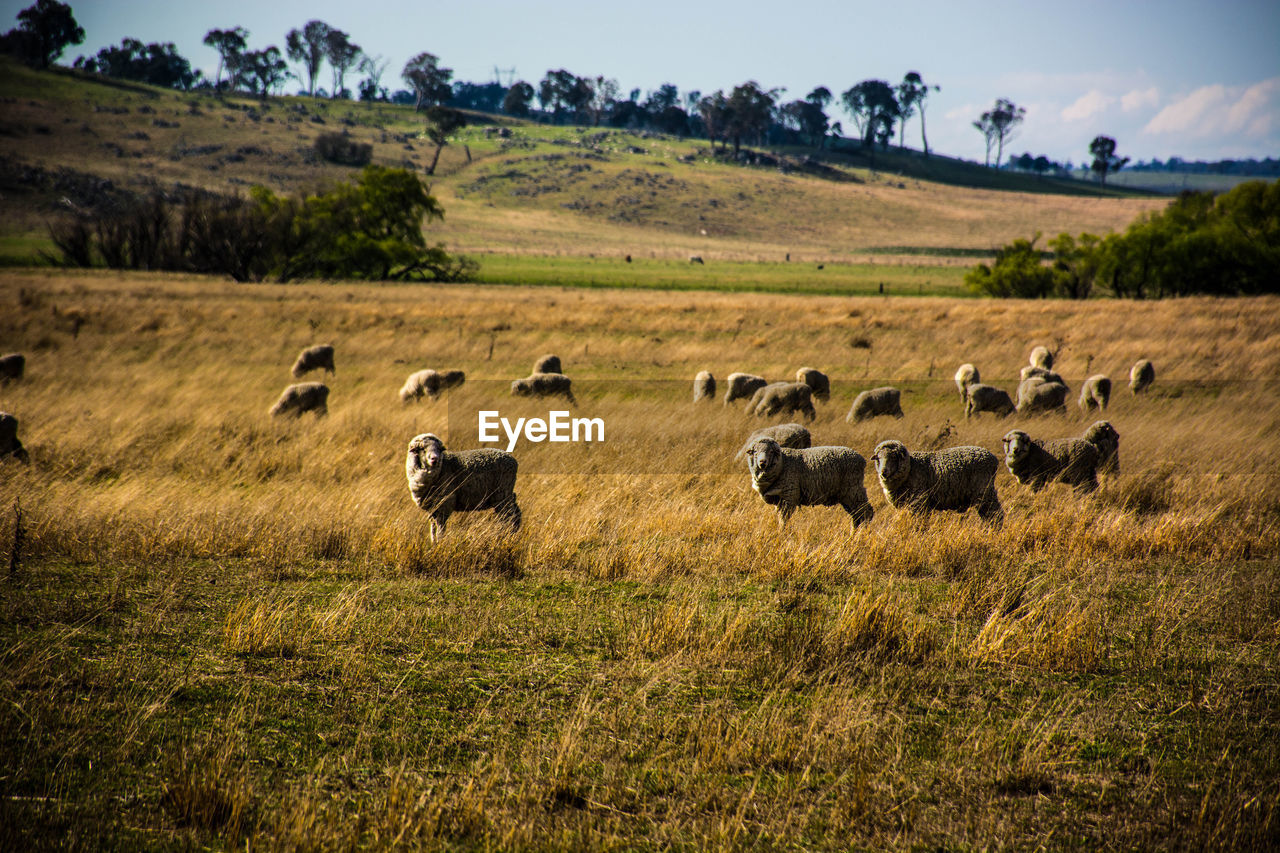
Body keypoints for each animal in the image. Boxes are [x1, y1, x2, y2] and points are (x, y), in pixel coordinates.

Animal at [747, 435, 875, 527]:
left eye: (771, 452)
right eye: (755, 452)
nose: (762, 462)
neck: (783, 463)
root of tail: (861, 459)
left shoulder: (789, 497)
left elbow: (783, 521)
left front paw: (783, 534)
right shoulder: (779, 500)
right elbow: (780, 519)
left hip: (853, 490)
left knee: (866, 513)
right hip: (847, 495)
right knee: (857, 516)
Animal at [865, 440, 1003, 522]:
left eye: (893, 457)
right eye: (878, 458)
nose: (883, 472)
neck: (910, 468)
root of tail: (993, 459)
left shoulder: (919, 503)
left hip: (984, 491)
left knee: (995, 514)